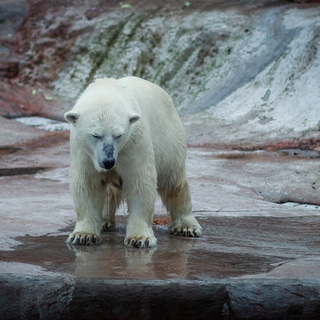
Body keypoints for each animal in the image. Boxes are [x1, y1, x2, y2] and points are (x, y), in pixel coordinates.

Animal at [63, 75, 201, 248]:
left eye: (118, 135)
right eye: (96, 135)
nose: (108, 161)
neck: (108, 87)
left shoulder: (134, 142)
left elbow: (140, 181)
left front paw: (139, 238)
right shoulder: (84, 151)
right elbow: (87, 183)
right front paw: (83, 235)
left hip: (170, 138)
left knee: (173, 180)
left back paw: (186, 227)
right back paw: (105, 222)